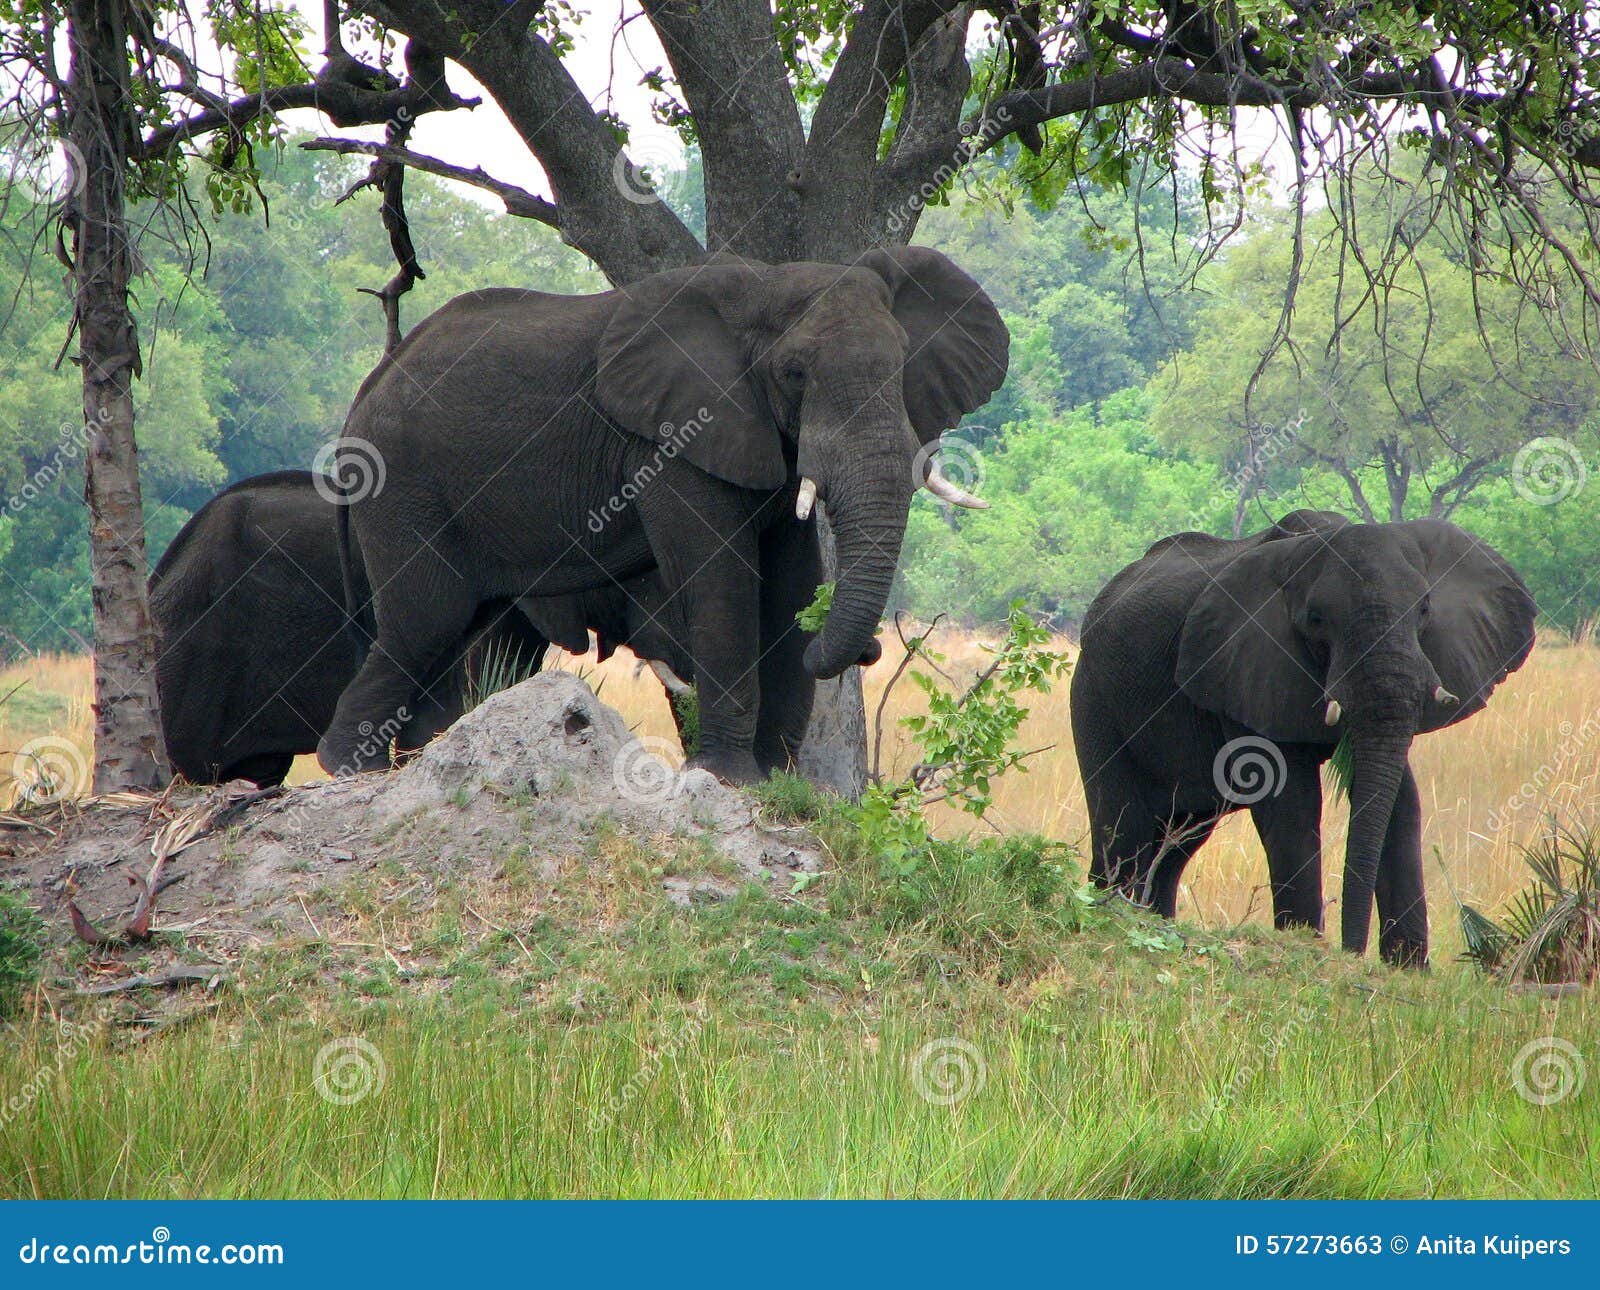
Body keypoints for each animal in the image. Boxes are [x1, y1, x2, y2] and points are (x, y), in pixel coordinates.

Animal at [315, 248, 1009, 784]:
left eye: (902, 363)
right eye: (794, 373)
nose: (870, 648)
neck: (765, 285)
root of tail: (366, 392)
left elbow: (793, 580)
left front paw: (777, 785)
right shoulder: (672, 439)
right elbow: (721, 579)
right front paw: (727, 778)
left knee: (454, 628)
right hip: (403, 485)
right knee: (425, 619)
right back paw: (352, 769)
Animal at [1069, 511, 1535, 967]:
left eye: (1424, 610)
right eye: (1316, 621)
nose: (1353, 953)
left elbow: (1400, 800)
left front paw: (1407, 969)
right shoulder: (1248, 670)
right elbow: (1290, 800)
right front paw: (1306, 945)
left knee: (1177, 842)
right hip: (1093, 698)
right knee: (1125, 831)